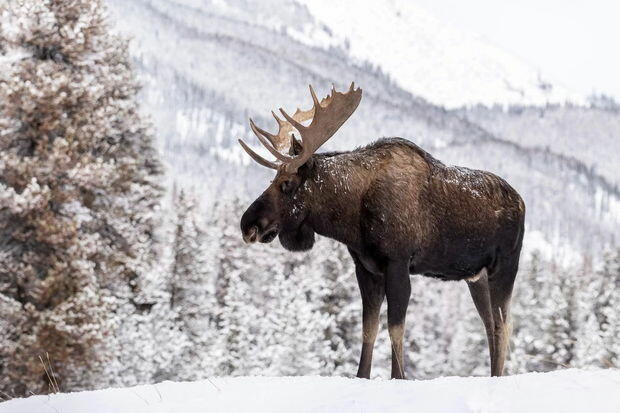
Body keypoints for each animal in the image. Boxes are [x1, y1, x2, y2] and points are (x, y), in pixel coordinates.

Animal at [237, 82, 524, 378]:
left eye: (287, 183)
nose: (248, 224)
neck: (352, 217)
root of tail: (521, 201)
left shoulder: (398, 263)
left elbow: (395, 329)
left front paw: (399, 377)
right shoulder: (366, 268)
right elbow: (369, 328)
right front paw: (362, 375)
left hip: (504, 266)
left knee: (503, 325)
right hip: (475, 276)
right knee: (489, 325)